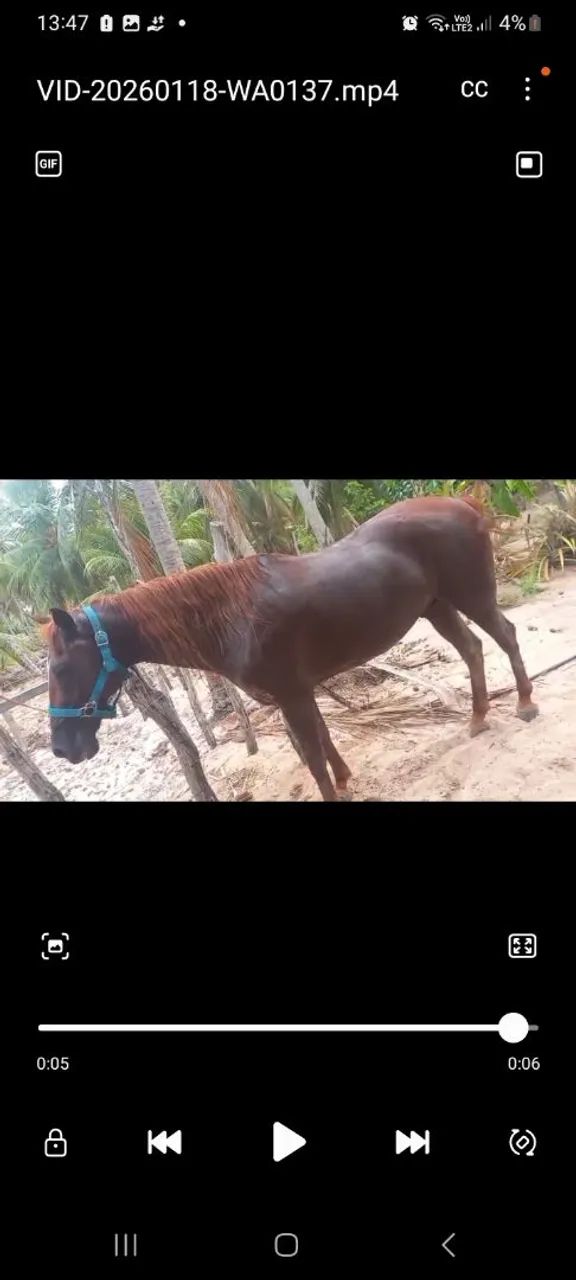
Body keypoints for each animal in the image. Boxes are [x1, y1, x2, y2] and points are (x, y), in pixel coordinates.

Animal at [45, 496, 538, 800]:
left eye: (62, 669)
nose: (63, 749)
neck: (231, 618)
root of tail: (461, 503)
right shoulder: (299, 693)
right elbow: (322, 742)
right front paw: (346, 781)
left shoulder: (292, 694)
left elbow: (314, 758)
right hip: (437, 607)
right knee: (472, 648)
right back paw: (477, 718)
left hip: (473, 595)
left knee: (506, 636)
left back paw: (525, 705)